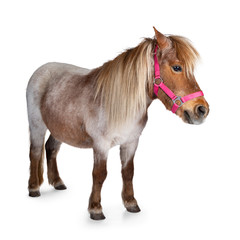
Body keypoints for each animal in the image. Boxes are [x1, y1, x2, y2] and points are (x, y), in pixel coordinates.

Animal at [26, 27, 209, 220]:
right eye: (177, 67)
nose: (201, 110)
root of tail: (41, 69)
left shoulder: (131, 142)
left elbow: (128, 172)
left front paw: (131, 203)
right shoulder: (101, 144)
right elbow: (99, 174)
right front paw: (96, 209)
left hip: (60, 129)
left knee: (51, 149)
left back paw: (58, 182)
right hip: (37, 125)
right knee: (35, 152)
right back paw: (34, 188)